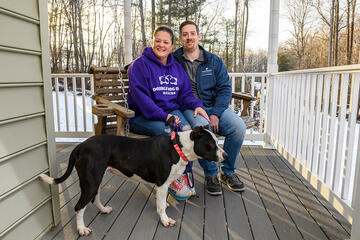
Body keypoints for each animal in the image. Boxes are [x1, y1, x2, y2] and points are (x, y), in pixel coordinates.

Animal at [38, 119, 225, 235]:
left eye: (217, 142)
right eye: (211, 144)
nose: (225, 155)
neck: (178, 147)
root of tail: (81, 146)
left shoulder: (163, 186)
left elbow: (161, 201)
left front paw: (164, 205)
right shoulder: (162, 184)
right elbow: (160, 207)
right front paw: (165, 220)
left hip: (96, 179)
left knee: (94, 199)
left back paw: (103, 210)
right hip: (90, 182)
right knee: (79, 206)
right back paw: (82, 229)